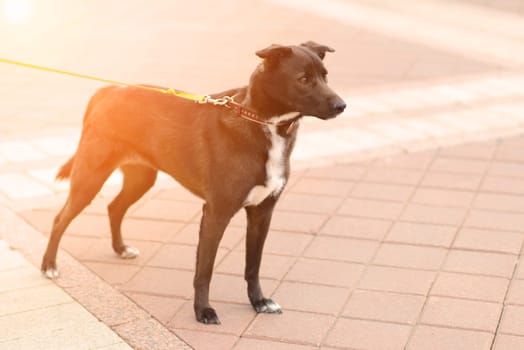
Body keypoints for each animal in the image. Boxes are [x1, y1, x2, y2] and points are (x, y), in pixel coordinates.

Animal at [42, 41, 348, 326]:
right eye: (303, 79)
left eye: (325, 76)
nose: (342, 106)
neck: (261, 121)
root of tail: (108, 91)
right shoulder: (215, 213)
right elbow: (205, 270)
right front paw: (203, 310)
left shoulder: (262, 212)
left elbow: (253, 265)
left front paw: (259, 302)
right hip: (90, 178)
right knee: (60, 218)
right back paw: (49, 266)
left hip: (141, 178)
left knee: (114, 207)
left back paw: (120, 249)